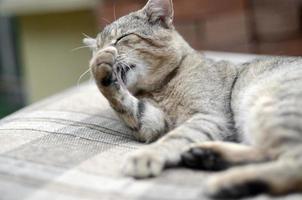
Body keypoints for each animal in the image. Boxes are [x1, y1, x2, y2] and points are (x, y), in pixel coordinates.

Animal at [84, 0, 302, 198]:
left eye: (121, 38)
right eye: (97, 47)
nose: (101, 52)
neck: (159, 89)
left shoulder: (209, 116)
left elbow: (176, 137)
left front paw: (147, 155)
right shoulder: (153, 123)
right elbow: (127, 104)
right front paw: (99, 68)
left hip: (273, 107)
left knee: (291, 163)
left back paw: (227, 181)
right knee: (270, 153)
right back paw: (208, 156)